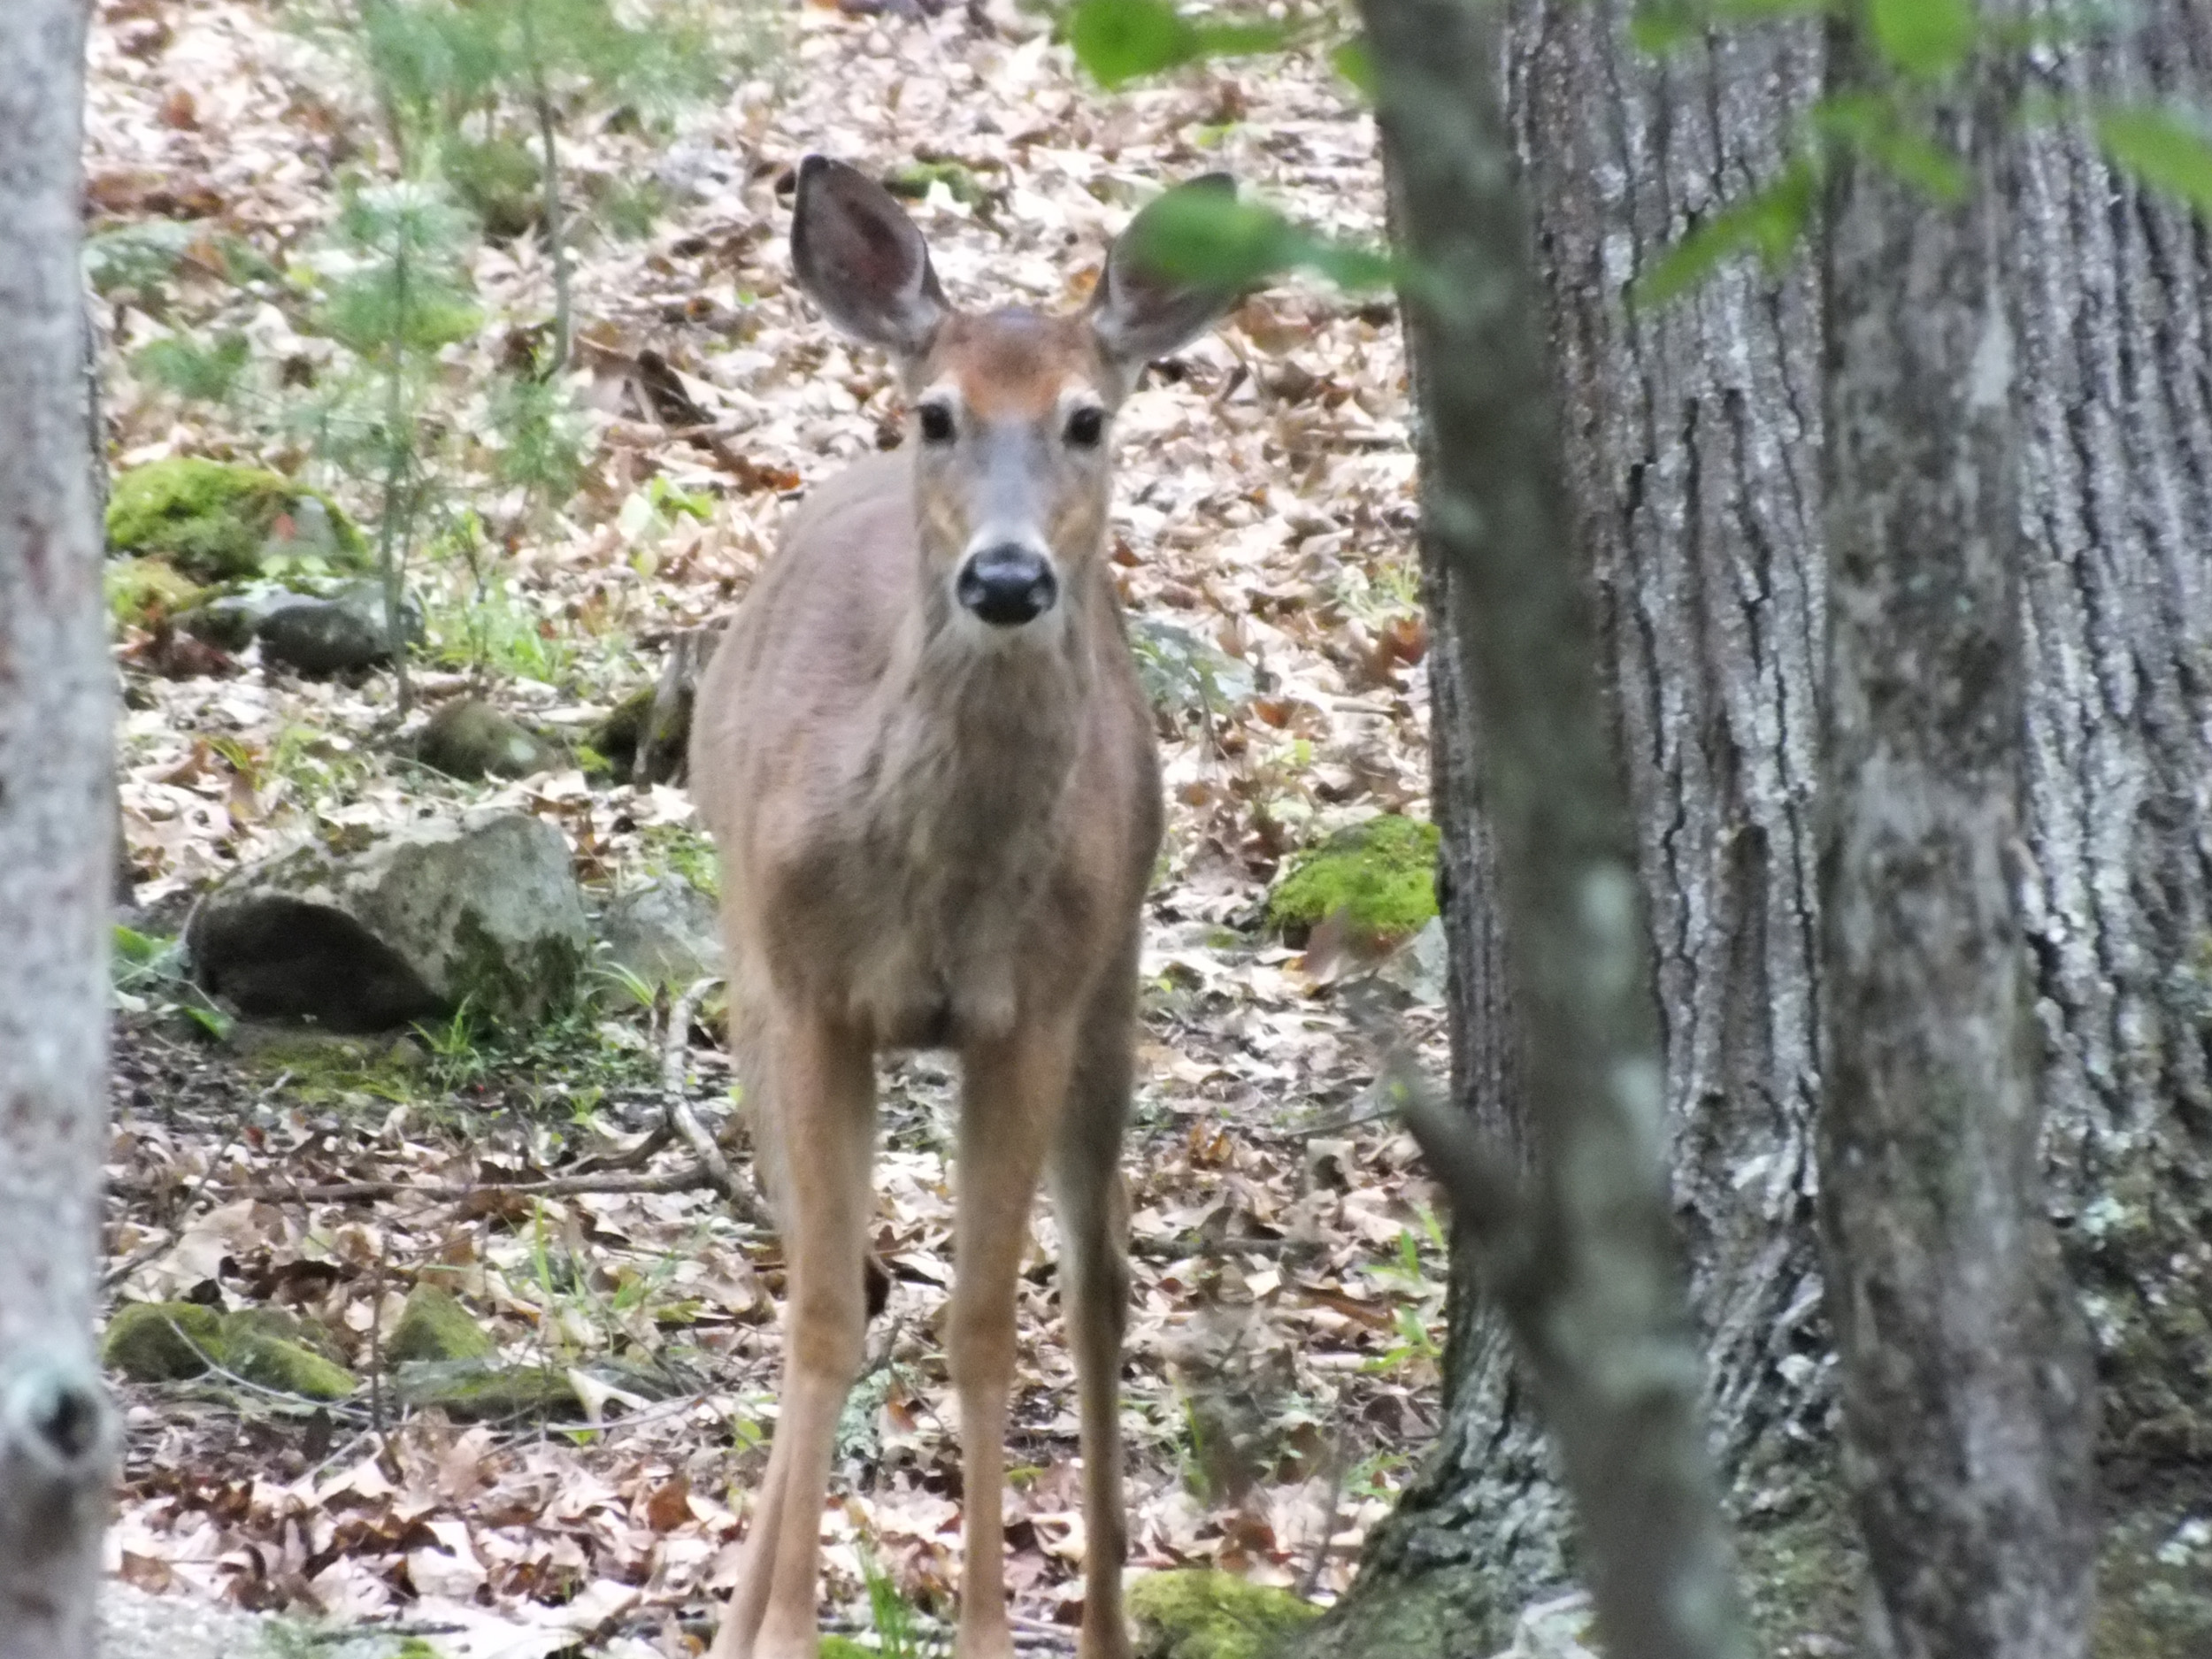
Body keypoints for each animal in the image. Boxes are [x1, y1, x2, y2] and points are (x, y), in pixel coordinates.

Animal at [690, 159, 1248, 1659]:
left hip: (1114, 975)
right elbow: (828, 1313)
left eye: (1088, 418)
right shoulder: (809, 994)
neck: (935, 881)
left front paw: (990, 1630)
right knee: (810, 1266)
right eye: (936, 413)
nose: (1004, 578)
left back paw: (1109, 1619)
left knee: (1101, 1280)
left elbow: (987, 1324)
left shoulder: (1029, 1012)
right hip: (747, 974)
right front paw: (783, 1630)